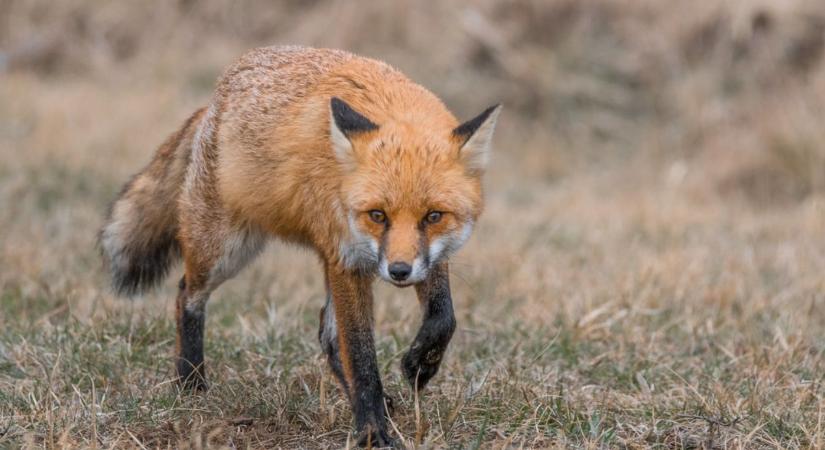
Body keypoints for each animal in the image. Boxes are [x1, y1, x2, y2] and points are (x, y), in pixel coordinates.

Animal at [100, 45, 498, 446]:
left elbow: (443, 317)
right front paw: (372, 432)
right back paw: (191, 383)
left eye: (433, 216)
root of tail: (213, 101)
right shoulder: (348, 260)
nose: (398, 272)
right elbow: (361, 356)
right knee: (187, 294)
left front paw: (420, 365)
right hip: (226, 248)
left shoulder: (423, 256)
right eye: (377, 215)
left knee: (327, 334)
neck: (393, 107)